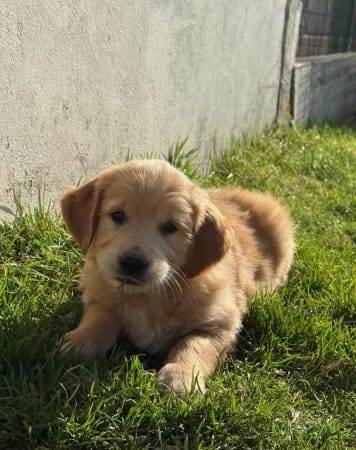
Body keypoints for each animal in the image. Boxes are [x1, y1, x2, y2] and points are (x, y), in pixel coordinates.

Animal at [61, 161, 294, 394]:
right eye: (117, 215)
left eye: (170, 227)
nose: (132, 262)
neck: (149, 296)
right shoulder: (100, 296)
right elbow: (98, 319)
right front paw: (79, 342)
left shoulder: (220, 325)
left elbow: (192, 344)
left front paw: (181, 376)